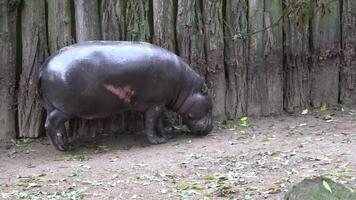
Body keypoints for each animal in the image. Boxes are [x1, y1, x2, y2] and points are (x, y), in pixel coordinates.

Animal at [39, 41, 213, 150]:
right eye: (210, 106)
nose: (210, 128)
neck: (187, 88)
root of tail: (43, 68)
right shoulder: (155, 104)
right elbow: (150, 124)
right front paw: (157, 141)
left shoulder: (159, 104)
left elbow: (158, 124)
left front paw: (166, 137)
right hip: (65, 109)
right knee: (50, 123)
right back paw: (64, 148)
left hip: (51, 105)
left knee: (57, 125)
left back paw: (66, 143)